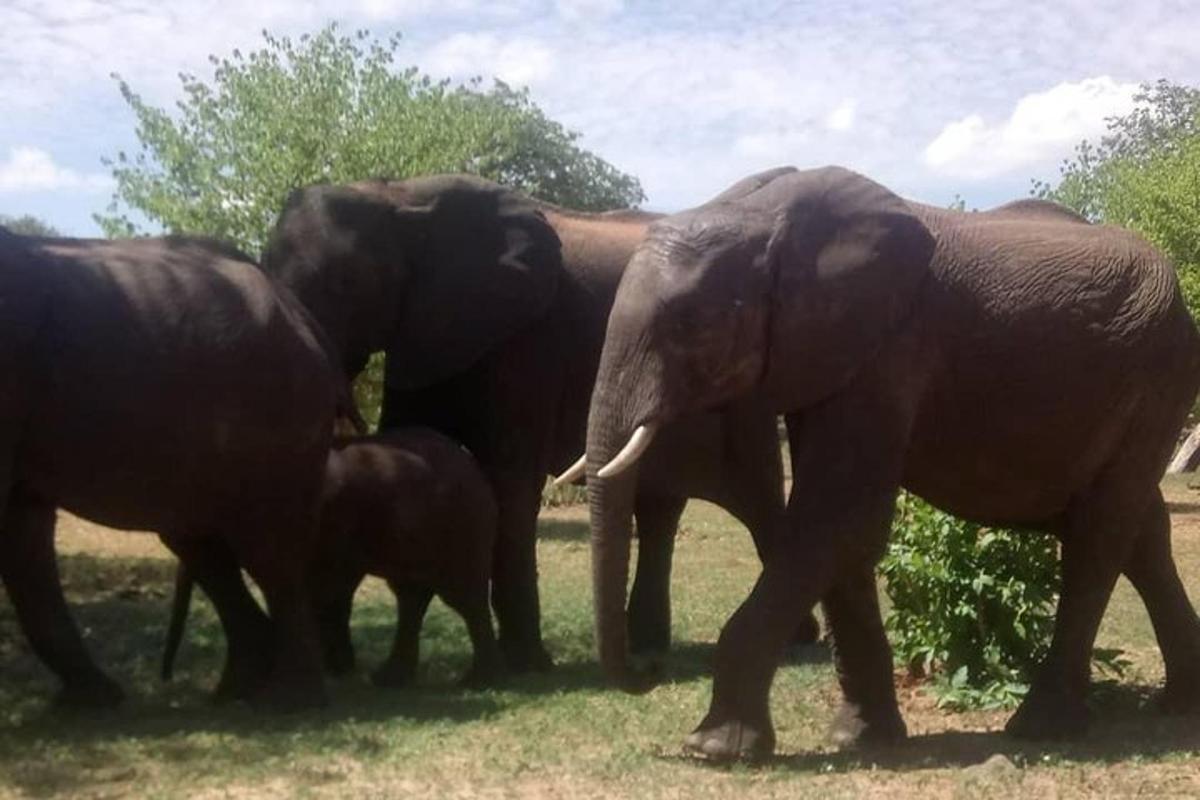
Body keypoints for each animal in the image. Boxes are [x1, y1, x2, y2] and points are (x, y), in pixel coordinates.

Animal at [0, 230, 343, 705]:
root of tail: (302, 316)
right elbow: (22, 531)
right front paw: (90, 704)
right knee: (204, 549)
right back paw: (233, 692)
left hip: (280, 420)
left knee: (270, 552)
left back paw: (287, 701)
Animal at [162, 431, 499, 690]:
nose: (166, 678)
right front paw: (335, 669)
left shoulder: (333, 520)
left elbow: (325, 586)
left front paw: (330, 669)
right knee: (410, 595)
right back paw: (387, 680)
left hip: (463, 526)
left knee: (462, 597)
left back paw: (476, 682)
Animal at [259, 175, 820, 676]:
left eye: (345, 285)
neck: (398, 195)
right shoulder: (427, 332)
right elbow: (413, 445)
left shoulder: (528, 341)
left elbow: (511, 478)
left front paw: (525, 664)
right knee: (659, 506)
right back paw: (648, 645)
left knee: (757, 498)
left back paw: (797, 642)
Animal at [578, 165, 1200, 762]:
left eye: (690, 326)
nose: (649, 671)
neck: (764, 216)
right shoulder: (832, 357)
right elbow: (842, 535)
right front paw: (860, 740)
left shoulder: (891, 350)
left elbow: (836, 522)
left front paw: (713, 749)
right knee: (1140, 531)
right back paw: (1179, 706)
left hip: (1159, 375)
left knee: (1099, 536)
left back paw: (1042, 729)